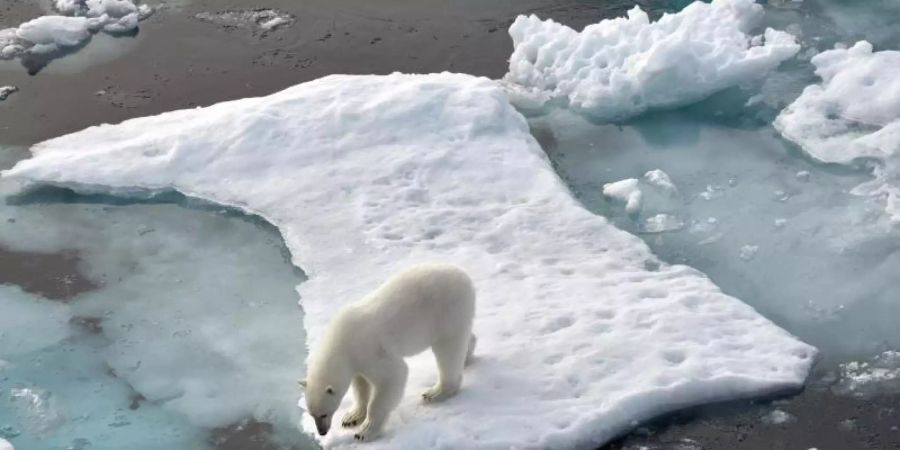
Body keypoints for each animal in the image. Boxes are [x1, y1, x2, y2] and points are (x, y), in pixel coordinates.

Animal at [298, 262, 478, 442]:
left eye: (323, 414)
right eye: (312, 414)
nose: (322, 432)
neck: (341, 340)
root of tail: (464, 276)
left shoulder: (369, 349)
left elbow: (393, 376)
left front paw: (365, 431)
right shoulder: (356, 360)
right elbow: (361, 385)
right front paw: (351, 417)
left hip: (447, 310)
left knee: (448, 350)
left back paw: (436, 392)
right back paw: (467, 355)